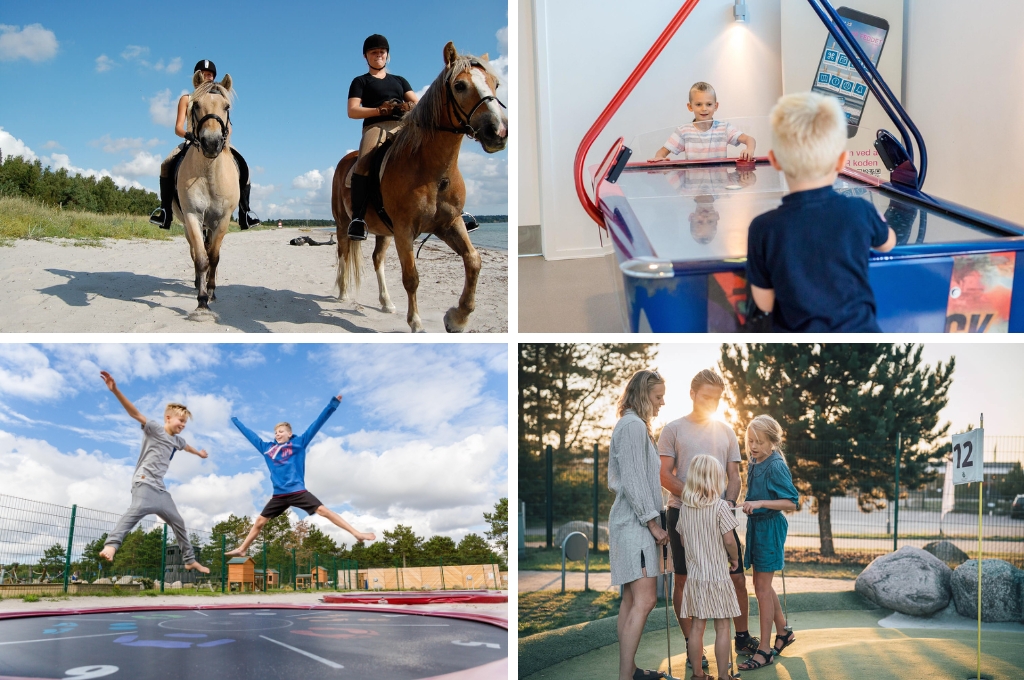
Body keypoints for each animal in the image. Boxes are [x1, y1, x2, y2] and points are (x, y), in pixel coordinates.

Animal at [176, 71, 241, 315]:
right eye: (195, 105)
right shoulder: (193, 216)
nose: (211, 143)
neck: (210, 174)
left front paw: (211, 292)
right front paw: (202, 300)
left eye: (226, 106)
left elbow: (213, 256)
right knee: (195, 252)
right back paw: (197, 283)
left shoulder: (222, 220)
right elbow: (202, 259)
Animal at [331, 39, 507, 331]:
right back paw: (343, 293)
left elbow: (473, 260)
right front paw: (416, 322)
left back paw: (386, 302)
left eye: (496, 83)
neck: (432, 171)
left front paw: (457, 318)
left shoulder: (449, 224)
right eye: (460, 85)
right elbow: (411, 277)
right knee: (343, 252)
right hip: (344, 224)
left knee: (377, 259)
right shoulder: (404, 231)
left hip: (383, 231)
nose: (498, 132)